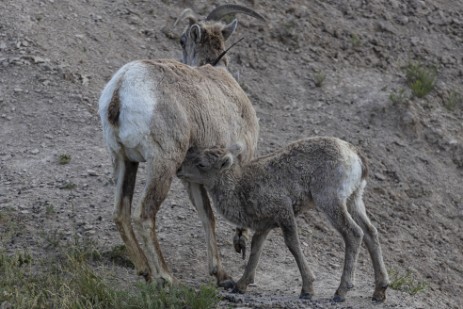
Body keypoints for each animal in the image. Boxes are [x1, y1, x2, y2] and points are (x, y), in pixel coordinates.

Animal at [98, 4, 264, 286]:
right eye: (182, 40)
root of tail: (120, 89)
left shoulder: (192, 175)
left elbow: (207, 215)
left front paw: (221, 275)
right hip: (162, 163)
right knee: (144, 215)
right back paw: (165, 276)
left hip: (124, 160)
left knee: (120, 213)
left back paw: (144, 270)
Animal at [178, 137, 392, 300]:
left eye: (201, 164)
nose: (179, 170)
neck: (239, 188)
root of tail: (357, 158)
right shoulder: (263, 225)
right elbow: (255, 249)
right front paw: (240, 285)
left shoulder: (284, 212)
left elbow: (292, 245)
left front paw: (307, 289)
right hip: (354, 199)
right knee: (371, 232)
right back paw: (379, 291)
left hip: (330, 200)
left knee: (354, 233)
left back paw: (341, 292)